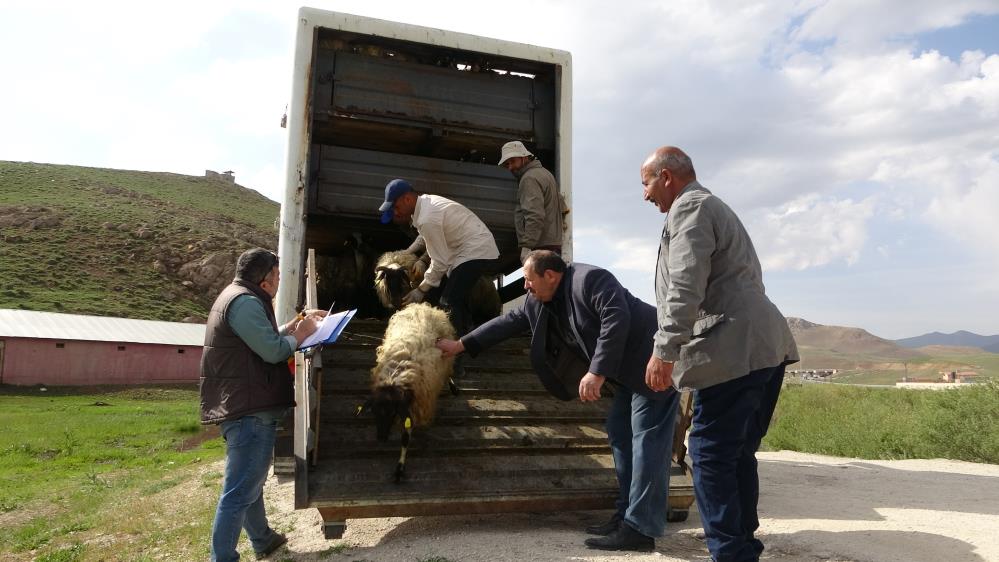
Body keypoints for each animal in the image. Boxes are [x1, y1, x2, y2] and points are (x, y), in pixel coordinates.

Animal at [356, 300, 458, 480]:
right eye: (373, 412)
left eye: (391, 412)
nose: (381, 438)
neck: (394, 378)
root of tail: (422, 306)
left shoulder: (413, 405)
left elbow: (405, 437)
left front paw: (400, 469)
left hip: (447, 358)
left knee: (448, 371)